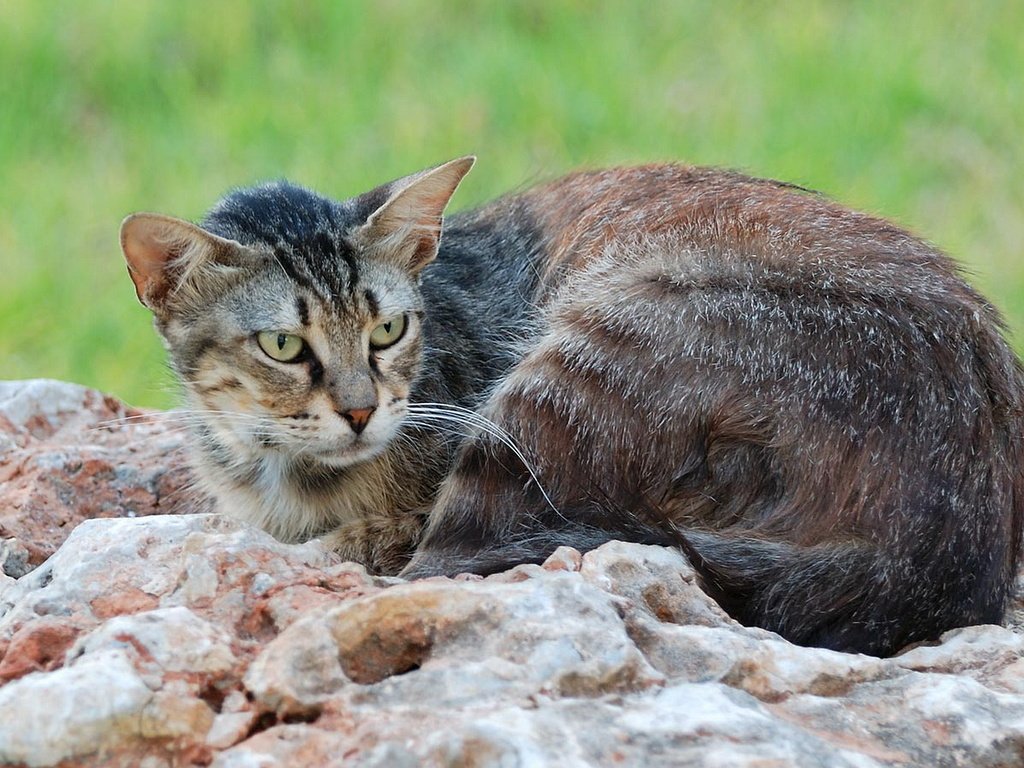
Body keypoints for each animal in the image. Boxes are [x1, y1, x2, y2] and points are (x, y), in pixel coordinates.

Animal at [119, 156, 1024, 655]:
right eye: (283, 345)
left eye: (387, 329)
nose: (360, 410)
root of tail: (944, 552)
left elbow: (359, 544)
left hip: (578, 366)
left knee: (441, 569)